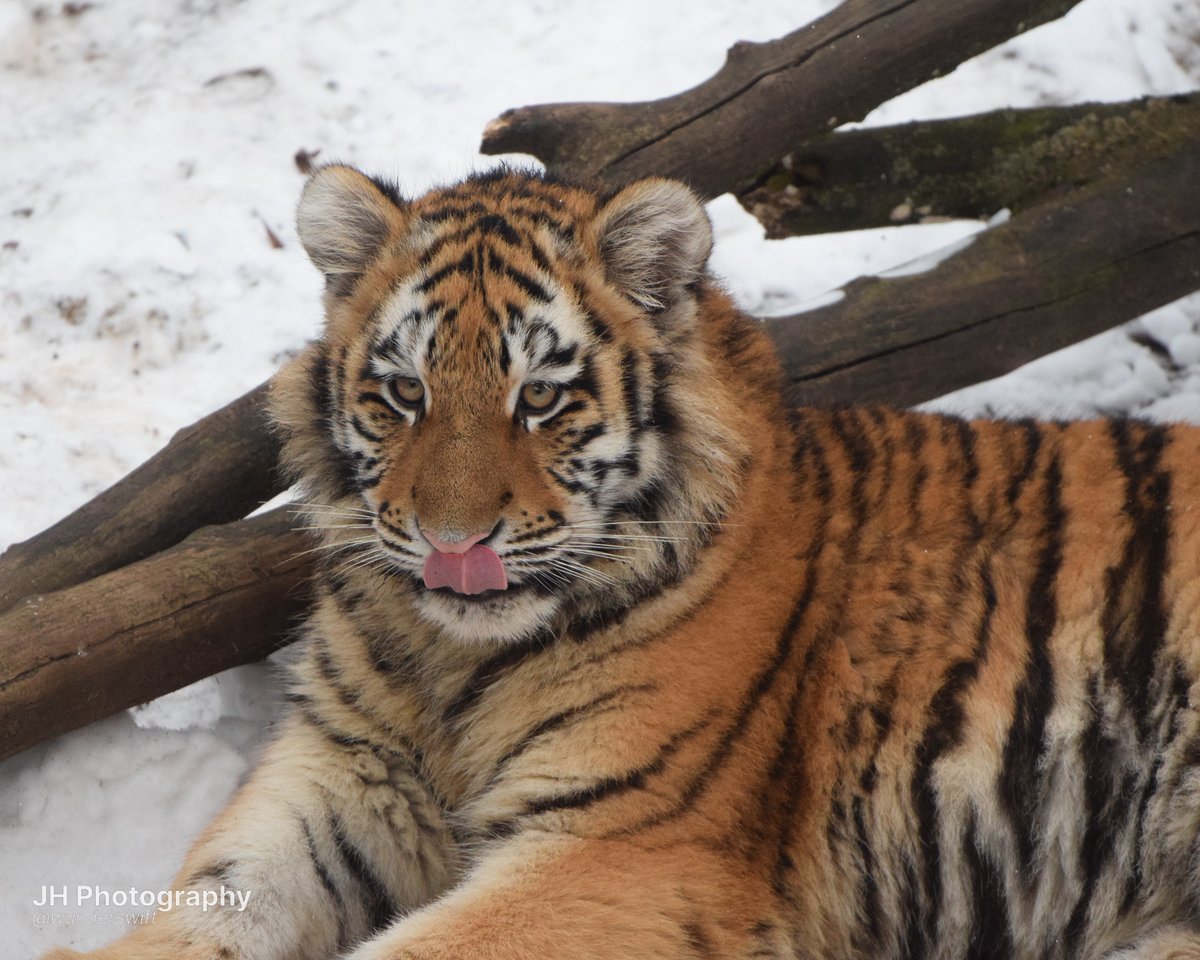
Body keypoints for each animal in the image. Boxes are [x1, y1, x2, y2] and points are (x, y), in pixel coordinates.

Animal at [43, 164, 1200, 960]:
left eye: (541, 397)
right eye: (406, 393)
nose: (453, 544)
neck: (450, 662)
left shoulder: (622, 838)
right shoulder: (345, 776)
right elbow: (210, 902)